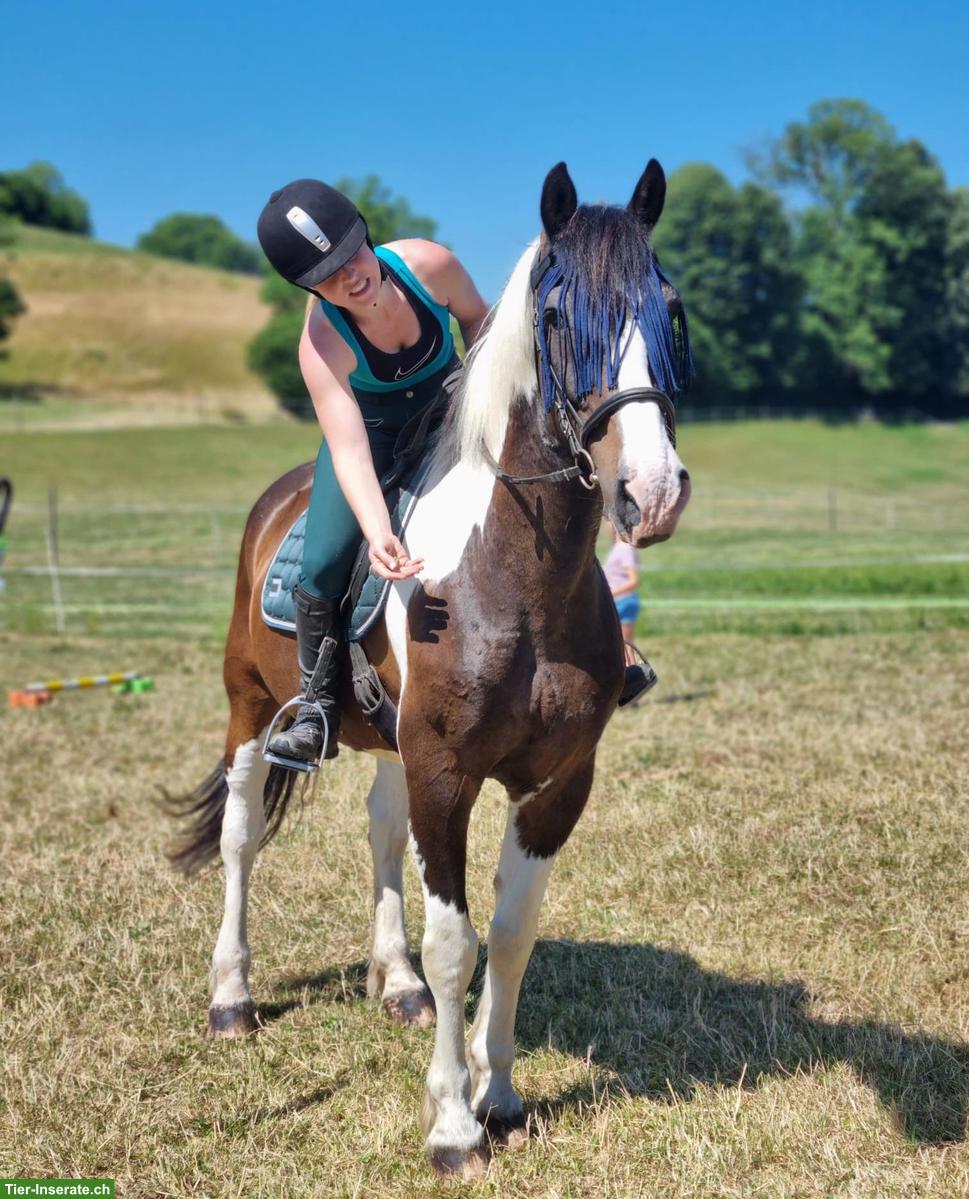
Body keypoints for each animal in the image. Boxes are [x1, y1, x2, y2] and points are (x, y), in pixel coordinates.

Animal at [168, 159, 692, 1178]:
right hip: (250, 710)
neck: (517, 578)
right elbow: (457, 940)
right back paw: (232, 999)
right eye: (558, 314)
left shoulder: (555, 783)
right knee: (242, 839)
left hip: (385, 742)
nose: (649, 493)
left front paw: (503, 1093)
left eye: (668, 306)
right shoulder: (446, 773)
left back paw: (396, 982)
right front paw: (453, 1125)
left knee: (378, 834)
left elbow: (510, 933)